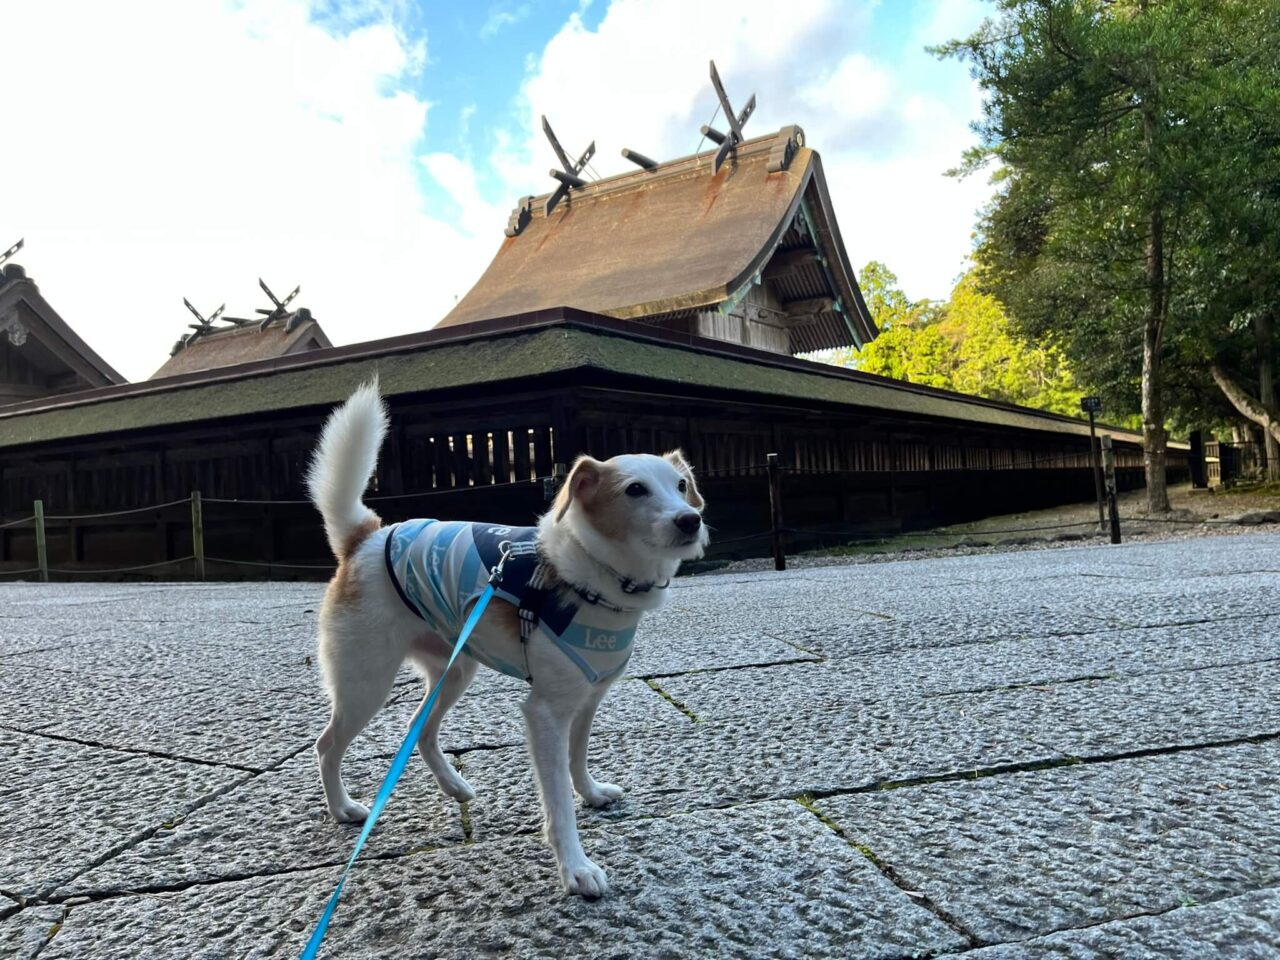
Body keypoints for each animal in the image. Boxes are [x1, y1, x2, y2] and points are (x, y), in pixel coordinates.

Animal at [307, 381, 711, 896]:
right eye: (635, 490)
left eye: (680, 486)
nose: (689, 519)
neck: (594, 575)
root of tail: (365, 539)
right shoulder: (546, 713)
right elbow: (557, 801)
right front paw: (575, 867)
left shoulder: (587, 699)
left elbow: (577, 758)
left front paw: (591, 793)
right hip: (366, 683)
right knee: (327, 745)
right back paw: (342, 808)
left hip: (456, 668)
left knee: (420, 728)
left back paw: (453, 787)